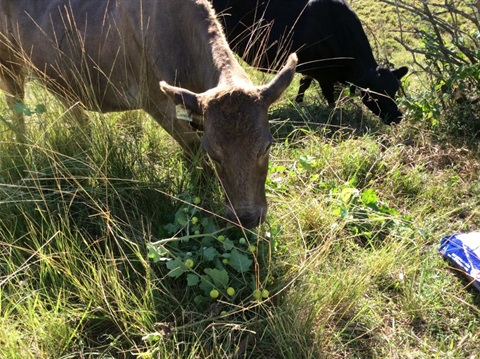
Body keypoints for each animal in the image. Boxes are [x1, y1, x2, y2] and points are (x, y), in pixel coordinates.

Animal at [0, 0, 296, 229]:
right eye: (214, 153)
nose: (247, 218)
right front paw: (202, 188)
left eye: (266, 146)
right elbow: (192, 147)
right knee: (16, 106)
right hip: (9, 63)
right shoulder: (155, 101)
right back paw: (23, 151)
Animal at [214, 0, 408, 124]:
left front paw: (298, 105)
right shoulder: (324, 74)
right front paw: (333, 116)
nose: (397, 117)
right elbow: (330, 98)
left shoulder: (310, 68)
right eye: (374, 93)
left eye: (394, 90)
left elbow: (303, 85)